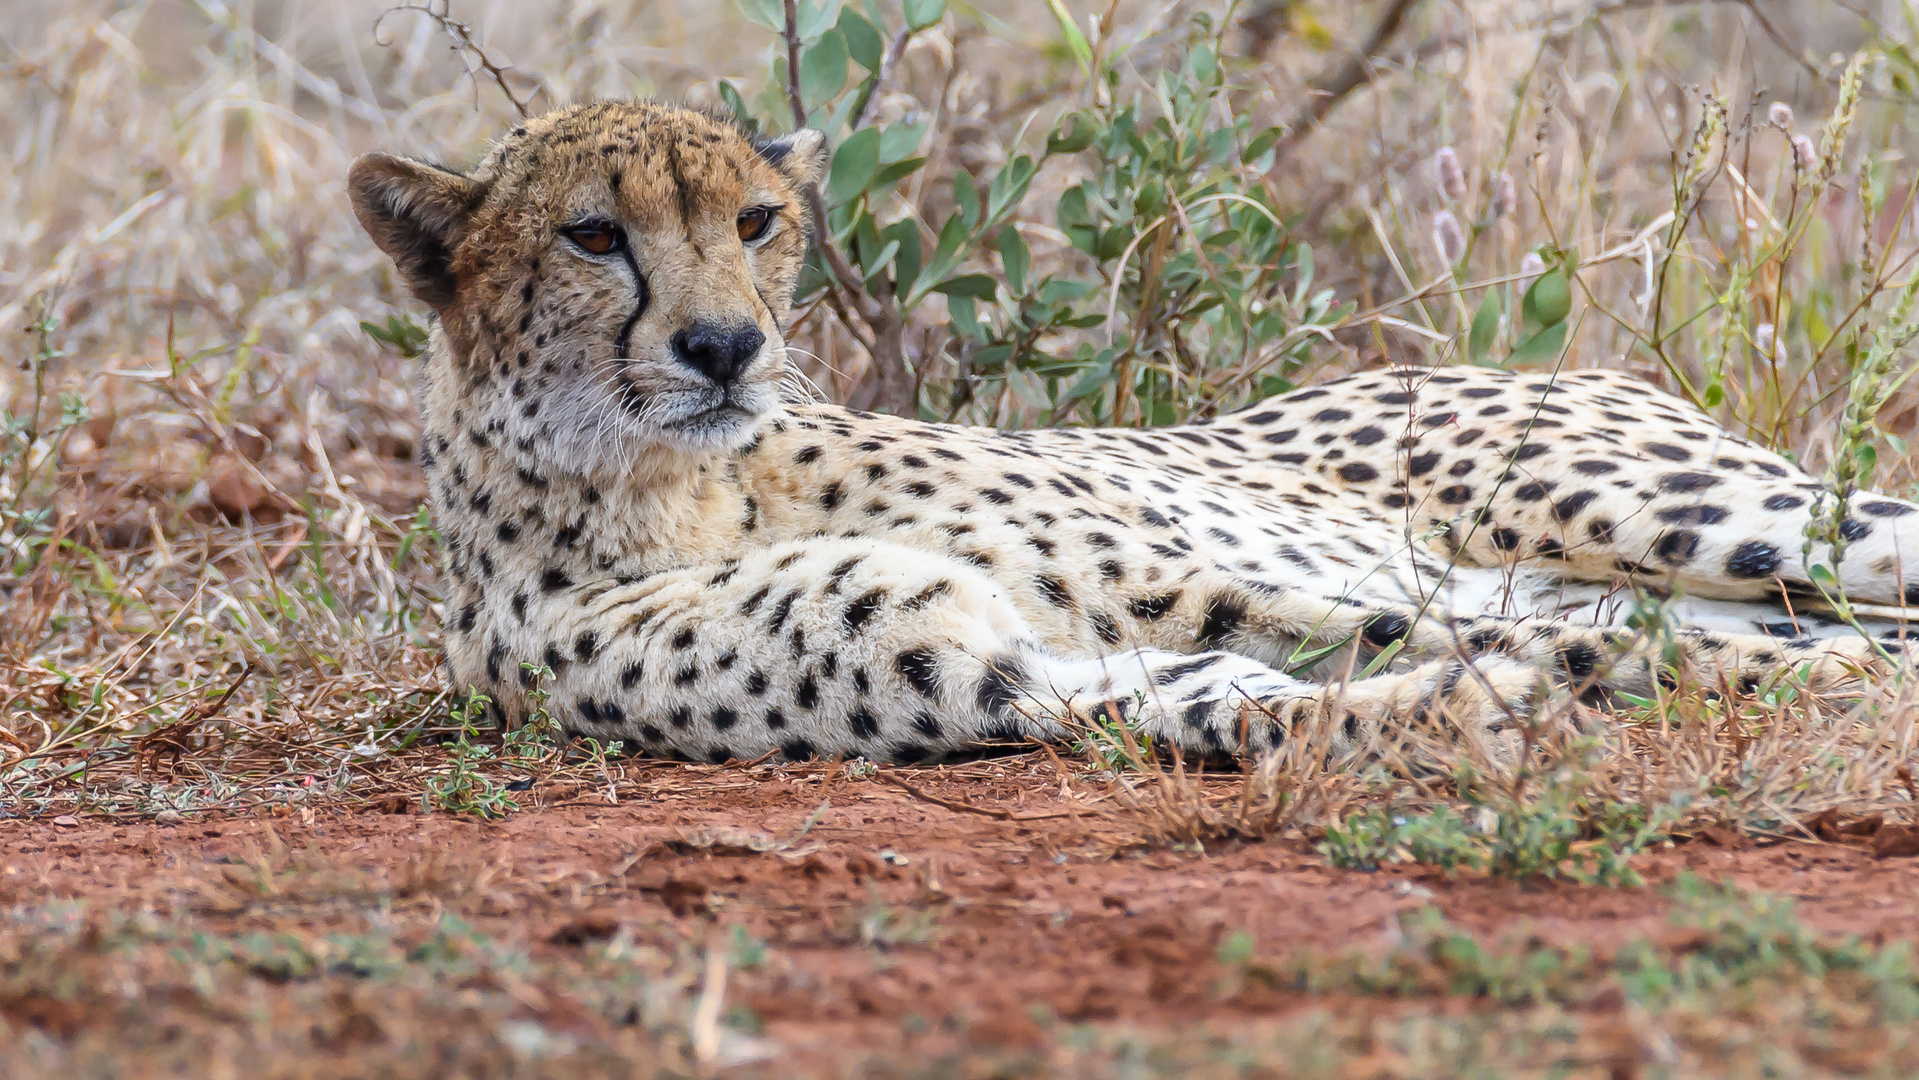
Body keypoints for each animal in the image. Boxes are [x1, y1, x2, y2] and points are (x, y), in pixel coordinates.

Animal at [349, 99, 1919, 759]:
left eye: (752, 223)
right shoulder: (977, 668)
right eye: (591, 236)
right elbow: (1232, 691)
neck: (671, 488)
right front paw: (1464, 709)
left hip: (1693, 511)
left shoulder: (1194, 579)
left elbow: (1442, 625)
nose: (726, 347)